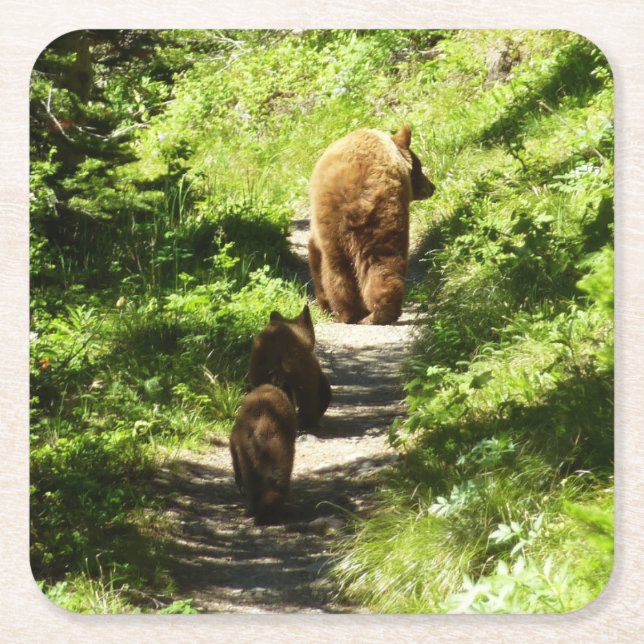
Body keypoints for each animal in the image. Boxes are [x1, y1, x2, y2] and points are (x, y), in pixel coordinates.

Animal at [308, 123, 435, 325]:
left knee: (339, 269)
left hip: (340, 224)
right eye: (420, 167)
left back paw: (350, 313)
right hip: (381, 217)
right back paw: (377, 312)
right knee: (382, 262)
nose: (432, 187)